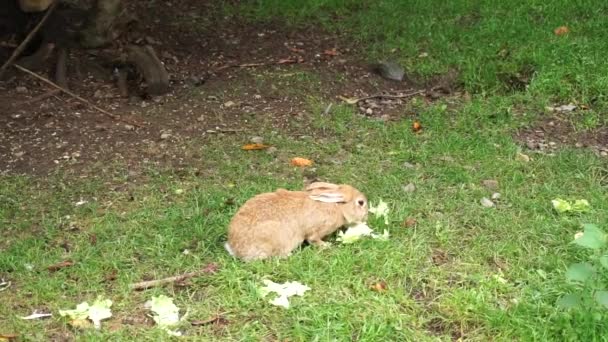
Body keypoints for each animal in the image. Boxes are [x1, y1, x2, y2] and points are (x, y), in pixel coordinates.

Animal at [222, 183, 366, 260]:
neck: (338, 207)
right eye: (361, 203)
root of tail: (234, 248)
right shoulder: (316, 230)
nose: (366, 217)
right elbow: (313, 239)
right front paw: (326, 245)